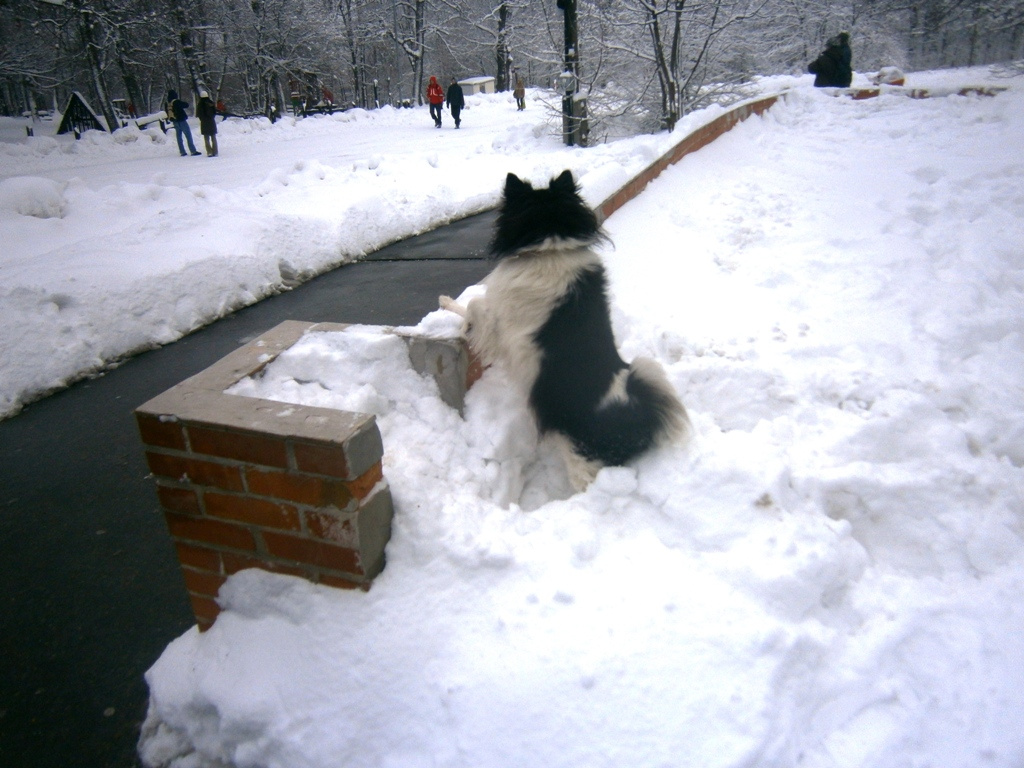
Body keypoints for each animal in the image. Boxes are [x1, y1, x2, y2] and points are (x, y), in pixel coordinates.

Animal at [440, 171, 688, 489]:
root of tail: (636, 408)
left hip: (581, 456)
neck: (549, 245)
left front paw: (459, 320)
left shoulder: (502, 320)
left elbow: (474, 304)